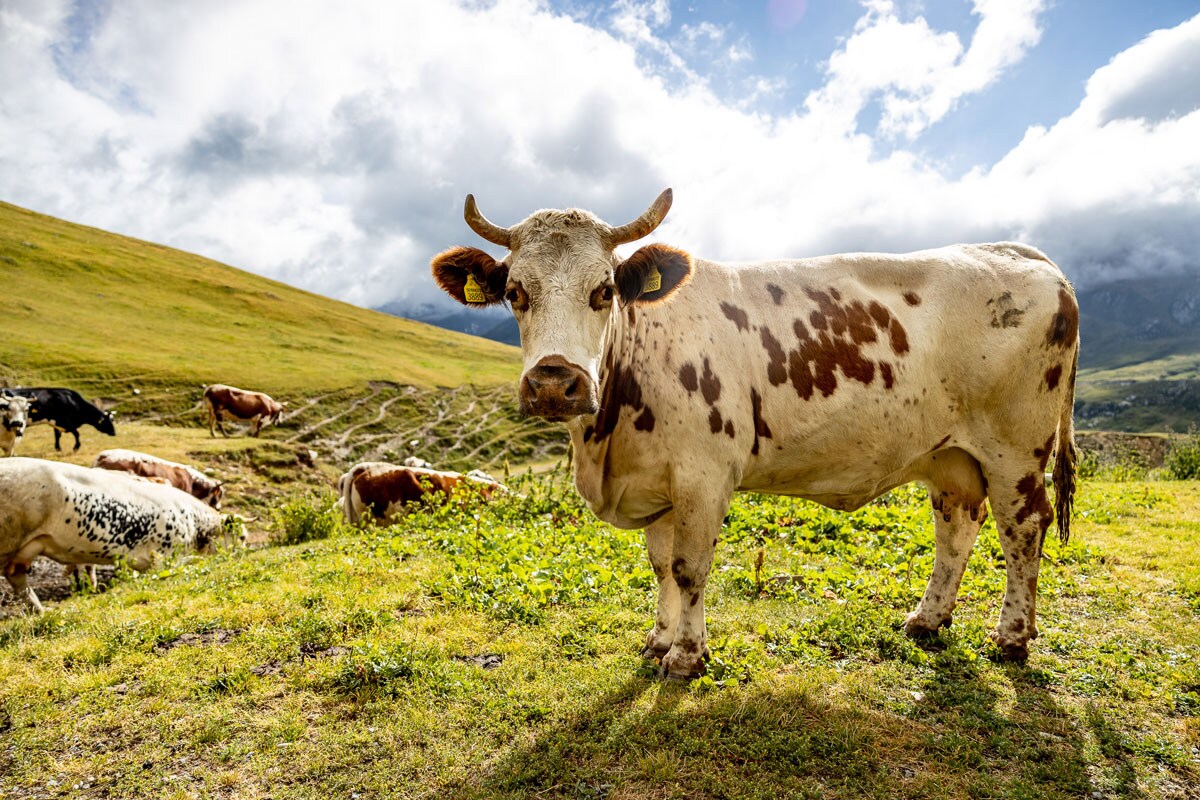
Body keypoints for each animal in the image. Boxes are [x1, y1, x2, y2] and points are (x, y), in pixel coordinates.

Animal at [0, 458, 244, 613]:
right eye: (241, 537)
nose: (241, 556)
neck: (192, 521)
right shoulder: (165, 557)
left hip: (23, 549)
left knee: (19, 580)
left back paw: (42, 612)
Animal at [430, 189, 1079, 678]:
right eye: (516, 293)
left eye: (604, 290)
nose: (554, 383)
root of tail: (1022, 256)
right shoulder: (659, 483)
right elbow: (661, 566)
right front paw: (658, 641)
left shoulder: (704, 475)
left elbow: (690, 568)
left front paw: (686, 657)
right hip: (951, 457)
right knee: (957, 530)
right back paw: (927, 619)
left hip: (1015, 450)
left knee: (1023, 530)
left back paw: (1012, 637)